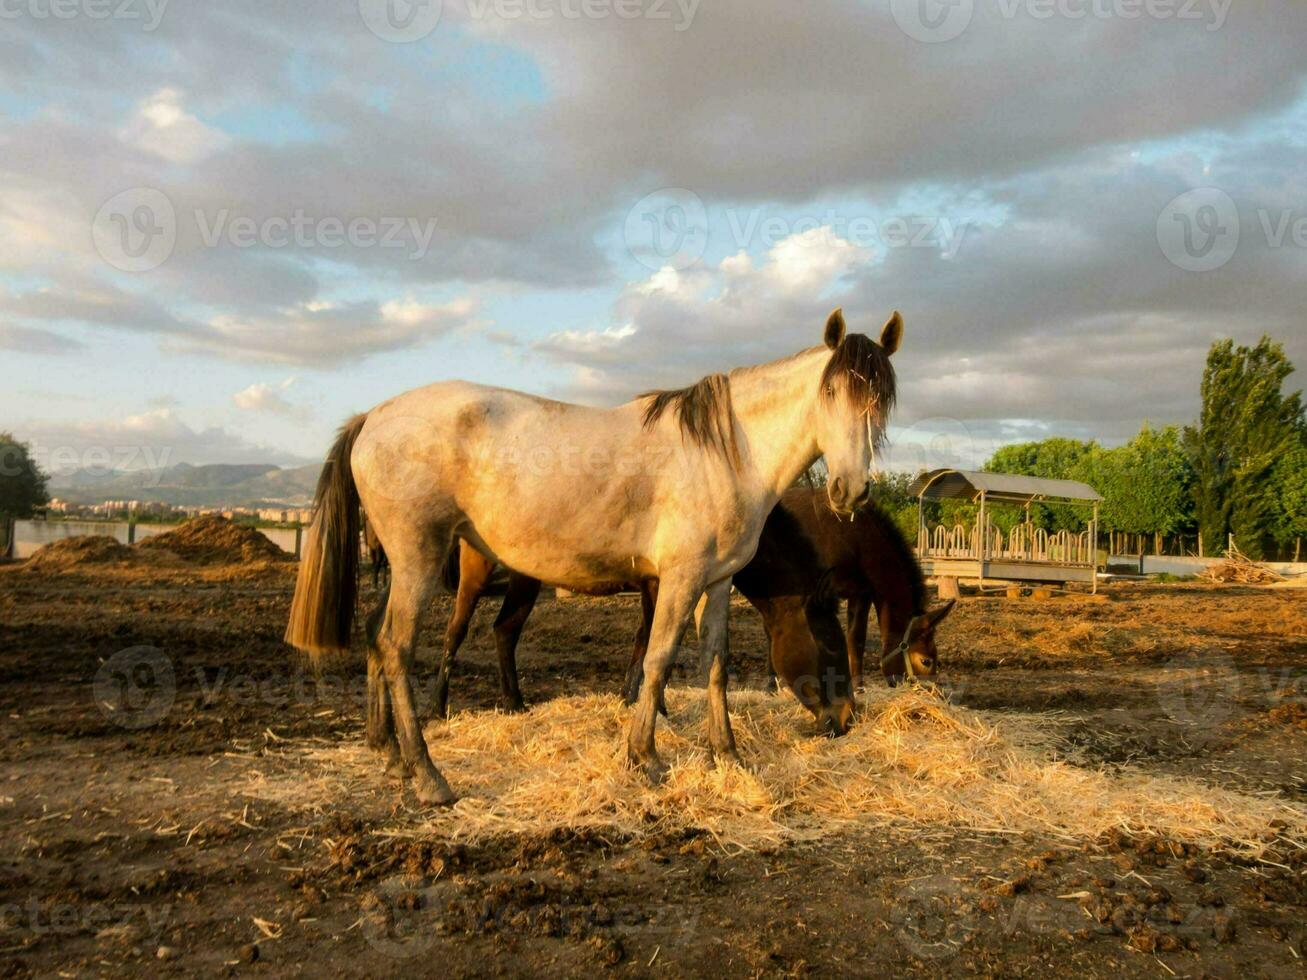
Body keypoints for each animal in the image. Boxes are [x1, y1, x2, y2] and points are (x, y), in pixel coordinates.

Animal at [431, 499, 857, 736]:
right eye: (830, 643)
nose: (847, 718)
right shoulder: (658, 583)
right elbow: (652, 642)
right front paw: (650, 707)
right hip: (477, 573)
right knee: (455, 631)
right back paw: (439, 708)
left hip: (524, 578)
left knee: (504, 630)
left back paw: (514, 703)